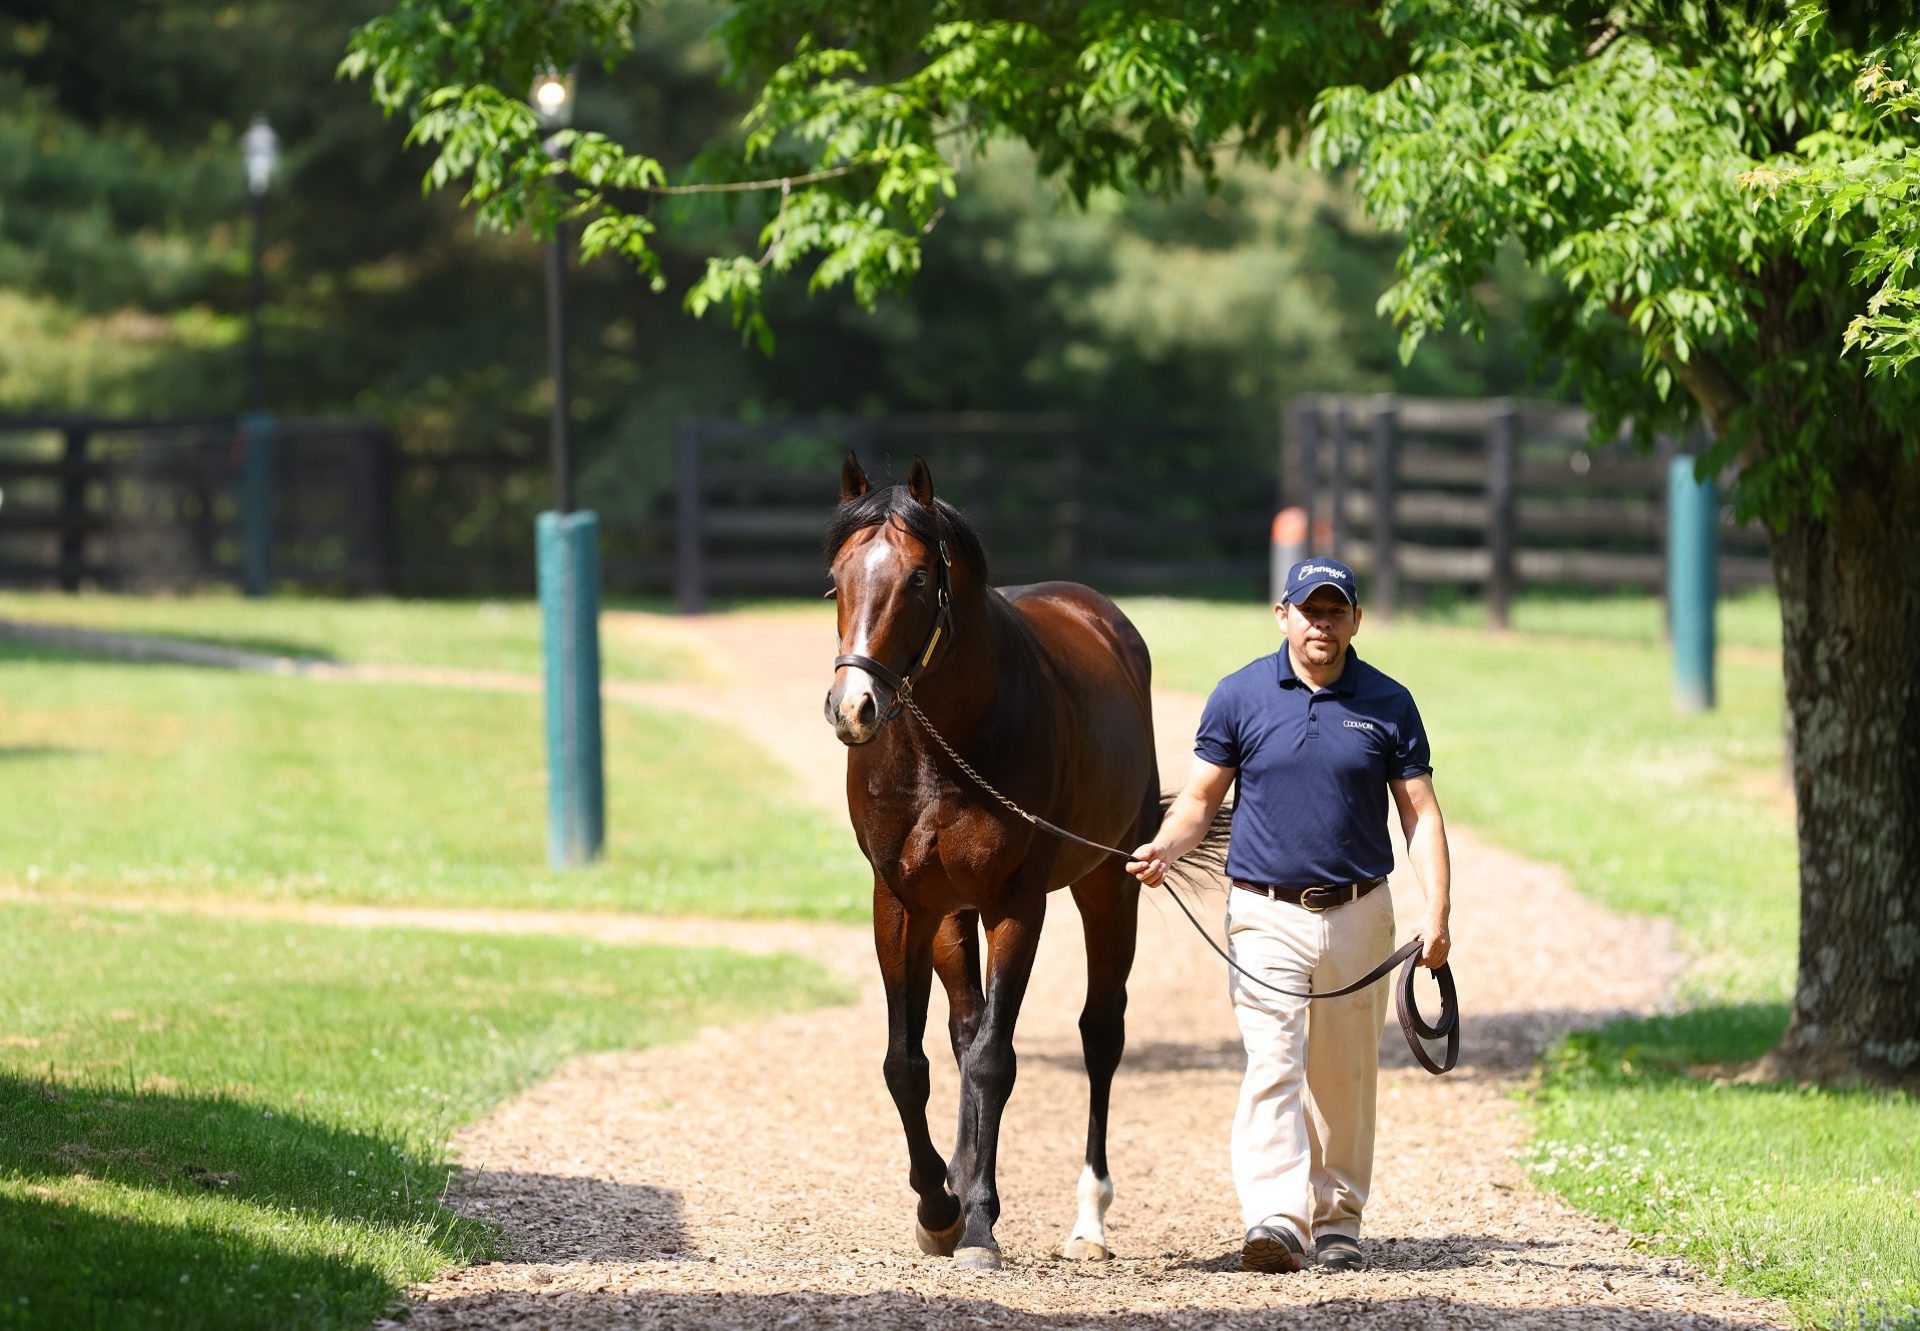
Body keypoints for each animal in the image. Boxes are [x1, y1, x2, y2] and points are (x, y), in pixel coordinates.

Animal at [821, 455, 1152, 1267]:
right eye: (836, 577)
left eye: (916, 579)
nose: (853, 707)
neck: (941, 748)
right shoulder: (902, 903)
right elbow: (908, 1063)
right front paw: (940, 1206)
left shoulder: (1016, 904)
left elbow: (997, 1060)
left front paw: (973, 1223)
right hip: (950, 913)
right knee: (965, 1028)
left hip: (1107, 887)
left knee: (1099, 1034)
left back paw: (1088, 1220)